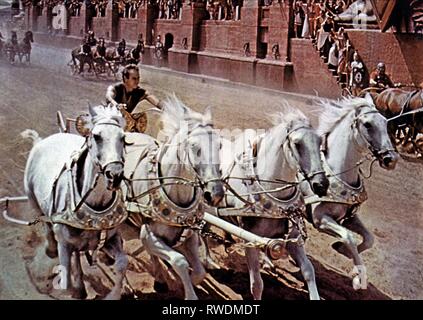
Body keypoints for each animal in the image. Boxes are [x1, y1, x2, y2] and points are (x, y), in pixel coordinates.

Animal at [23, 105, 127, 300]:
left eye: (123, 138)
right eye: (97, 136)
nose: (115, 175)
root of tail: (41, 141)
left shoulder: (112, 238)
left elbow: (122, 263)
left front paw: (113, 294)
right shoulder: (65, 243)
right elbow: (67, 280)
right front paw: (76, 289)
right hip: (33, 200)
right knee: (46, 225)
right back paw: (51, 249)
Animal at [123, 95, 225, 300]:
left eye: (219, 145)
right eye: (194, 146)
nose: (215, 194)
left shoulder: (189, 235)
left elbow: (200, 272)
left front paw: (192, 280)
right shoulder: (148, 234)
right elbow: (180, 261)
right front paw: (189, 292)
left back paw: (159, 278)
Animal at [219, 105, 332, 300]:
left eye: (320, 143)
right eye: (297, 144)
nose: (321, 184)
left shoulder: (293, 237)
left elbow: (309, 271)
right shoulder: (249, 239)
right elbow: (257, 284)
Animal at [304, 94, 400, 290]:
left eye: (385, 122)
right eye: (368, 124)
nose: (391, 159)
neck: (336, 172)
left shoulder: (349, 217)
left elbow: (369, 238)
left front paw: (341, 249)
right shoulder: (320, 219)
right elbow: (349, 237)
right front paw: (358, 276)